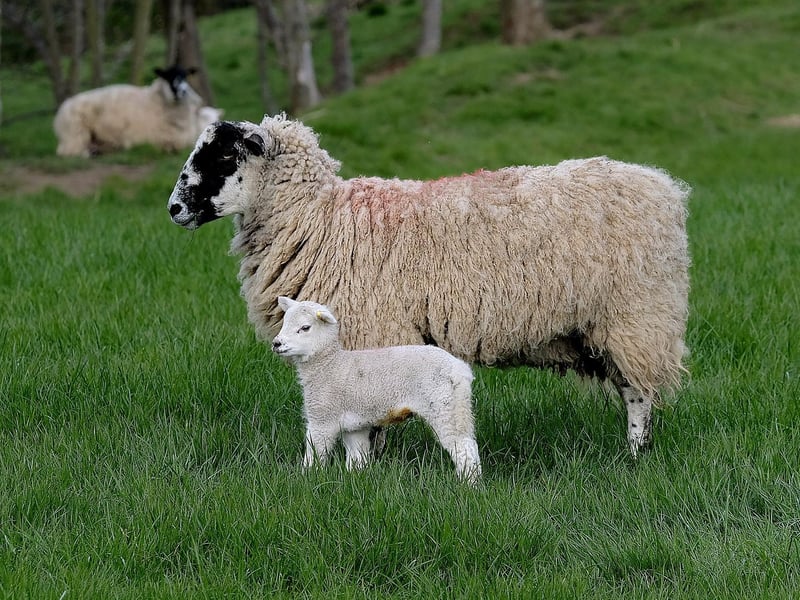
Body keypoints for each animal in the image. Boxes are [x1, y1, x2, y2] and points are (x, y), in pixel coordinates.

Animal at [167, 114, 691, 458]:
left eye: (223, 154)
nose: (174, 209)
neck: (319, 218)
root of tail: (664, 188)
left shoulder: (370, 330)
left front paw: (370, 462)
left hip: (636, 315)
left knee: (638, 393)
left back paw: (634, 455)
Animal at [272, 296, 482, 483]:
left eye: (305, 328)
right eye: (284, 323)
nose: (276, 343)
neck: (330, 364)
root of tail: (460, 370)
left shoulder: (322, 418)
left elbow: (314, 453)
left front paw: (306, 478)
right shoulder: (354, 425)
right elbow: (357, 457)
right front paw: (355, 479)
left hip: (444, 406)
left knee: (463, 447)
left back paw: (468, 485)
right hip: (458, 406)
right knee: (470, 443)